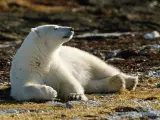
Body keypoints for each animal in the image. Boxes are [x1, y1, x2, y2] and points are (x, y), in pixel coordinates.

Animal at [10, 24, 138, 101]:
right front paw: (52, 92)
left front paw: (76, 96)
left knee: (102, 68)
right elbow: (24, 87)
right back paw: (117, 82)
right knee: (92, 83)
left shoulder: (55, 66)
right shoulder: (27, 69)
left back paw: (131, 80)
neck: (41, 58)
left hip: (84, 57)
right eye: (55, 28)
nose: (71, 28)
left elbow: (69, 81)